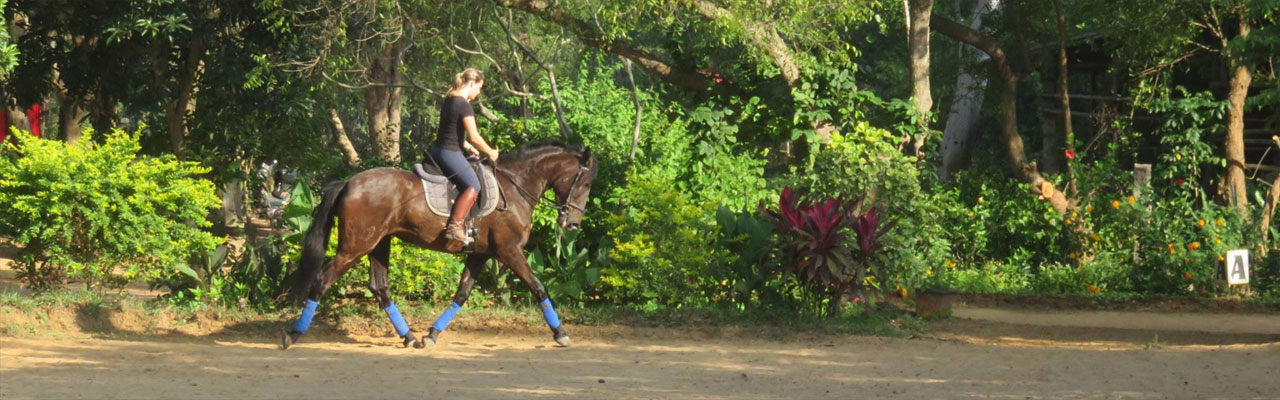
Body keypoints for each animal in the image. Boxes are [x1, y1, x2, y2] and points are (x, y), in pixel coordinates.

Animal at [279, 142, 593, 348]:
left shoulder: (480, 255)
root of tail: (348, 183)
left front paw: (431, 335)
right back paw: (293, 334)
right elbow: (539, 287)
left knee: (379, 287)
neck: (515, 188)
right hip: (356, 246)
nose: (572, 224)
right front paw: (561, 333)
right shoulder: (509, 251)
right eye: (586, 183)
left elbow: (462, 294)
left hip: (379, 243)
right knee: (323, 279)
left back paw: (409, 338)